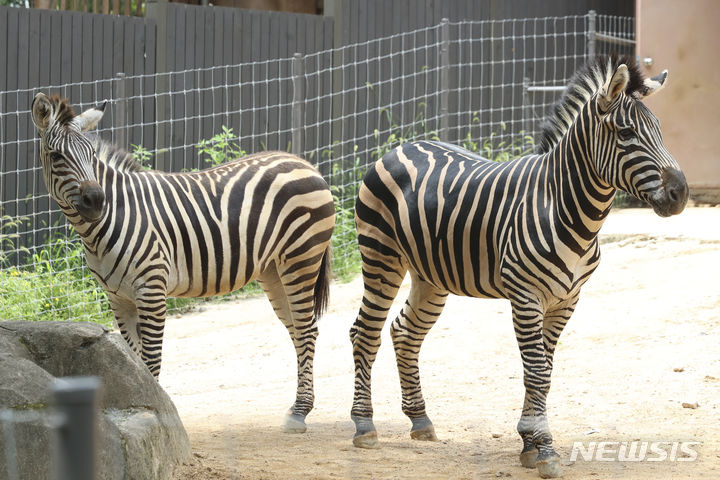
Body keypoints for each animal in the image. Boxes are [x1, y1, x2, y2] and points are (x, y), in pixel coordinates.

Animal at [31, 92, 338, 434]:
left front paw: (159, 420)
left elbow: (151, 360)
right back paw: (299, 407)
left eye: (91, 154)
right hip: (273, 270)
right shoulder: (118, 299)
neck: (109, 222)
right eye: (56, 156)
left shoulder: (152, 289)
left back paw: (300, 411)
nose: (97, 201)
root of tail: (303, 162)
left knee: (308, 330)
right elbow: (135, 361)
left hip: (301, 258)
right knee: (297, 330)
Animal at [348, 55, 688, 476]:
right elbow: (537, 370)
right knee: (365, 332)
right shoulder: (526, 296)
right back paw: (364, 426)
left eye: (659, 130)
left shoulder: (566, 300)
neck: (566, 208)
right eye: (625, 133)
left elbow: (543, 369)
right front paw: (544, 448)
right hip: (381, 257)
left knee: (404, 332)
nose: (681, 194)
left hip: (431, 276)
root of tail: (401, 147)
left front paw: (529, 443)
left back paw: (420, 420)